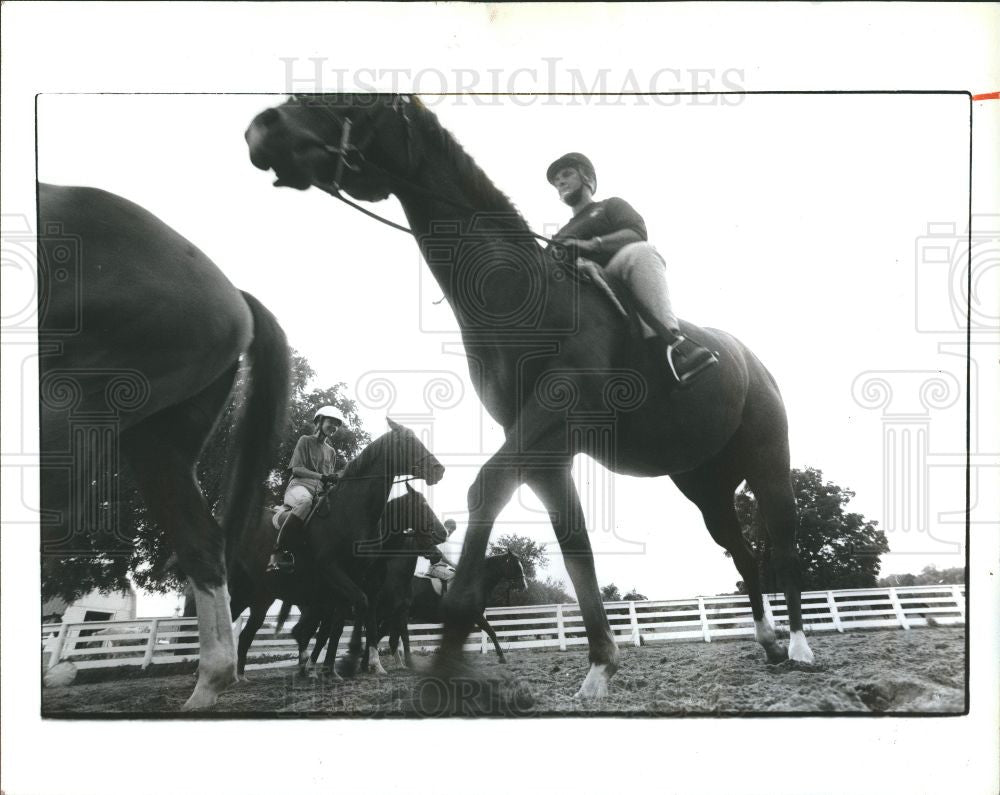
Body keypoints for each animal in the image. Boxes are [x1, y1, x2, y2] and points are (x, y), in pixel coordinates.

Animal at [230, 420, 446, 676]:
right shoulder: (333, 572)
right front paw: (351, 660)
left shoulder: (353, 583)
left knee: (248, 635)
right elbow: (359, 611)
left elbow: (345, 623)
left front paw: (338, 667)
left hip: (260, 596)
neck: (351, 513)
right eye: (408, 441)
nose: (439, 469)